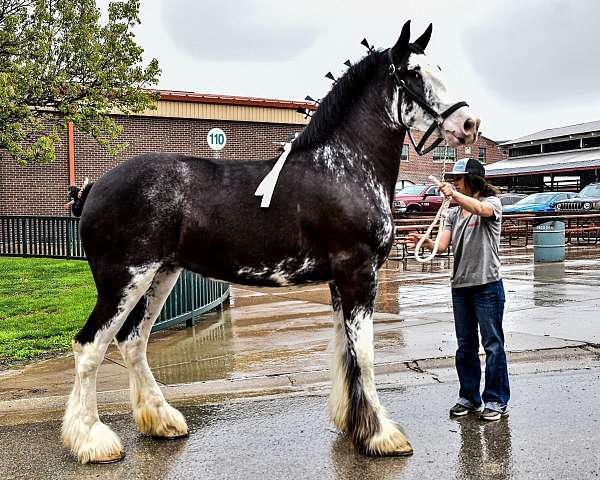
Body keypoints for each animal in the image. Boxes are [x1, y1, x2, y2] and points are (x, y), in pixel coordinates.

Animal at [63, 20, 480, 464]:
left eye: (438, 67)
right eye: (413, 73)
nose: (470, 123)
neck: (344, 166)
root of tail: (93, 188)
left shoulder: (340, 282)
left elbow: (344, 350)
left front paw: (353, 425)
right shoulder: (358, 274)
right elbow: (364, 354)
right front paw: (381, 435)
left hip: (160, 276)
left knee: (133, 342)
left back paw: (162, 421)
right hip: (124, 281)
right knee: (90, 346)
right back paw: (93, 440)